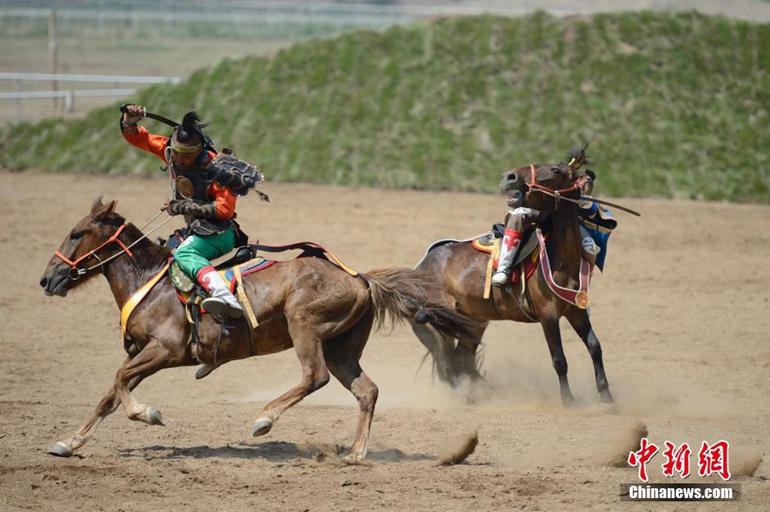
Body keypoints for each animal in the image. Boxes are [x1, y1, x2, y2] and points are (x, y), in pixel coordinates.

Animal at [40, 196, 480, 460]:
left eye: (77, 233)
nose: (48, 279)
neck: (152, 282)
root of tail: (361, 279)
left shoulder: (163, 350)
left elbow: (119, 382)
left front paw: (149, 414)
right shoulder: (146, 355)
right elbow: (109, 396)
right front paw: (69, 442)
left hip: (306, 329)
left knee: (314, 376)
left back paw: (264, 419)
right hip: (342, 349)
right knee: (366, 391)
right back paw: (355, 454)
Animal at [408, 152, 612, 408]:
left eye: (556, 170)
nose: (509, 176)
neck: (560, 260)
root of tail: (419, 267)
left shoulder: (576, 311)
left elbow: (595, 347)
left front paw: (606, 396)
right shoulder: (548, 316)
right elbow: (559, 360)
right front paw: (568, 400)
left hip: (473, 323)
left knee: (461, 361)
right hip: (439, 326)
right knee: (448, 366)